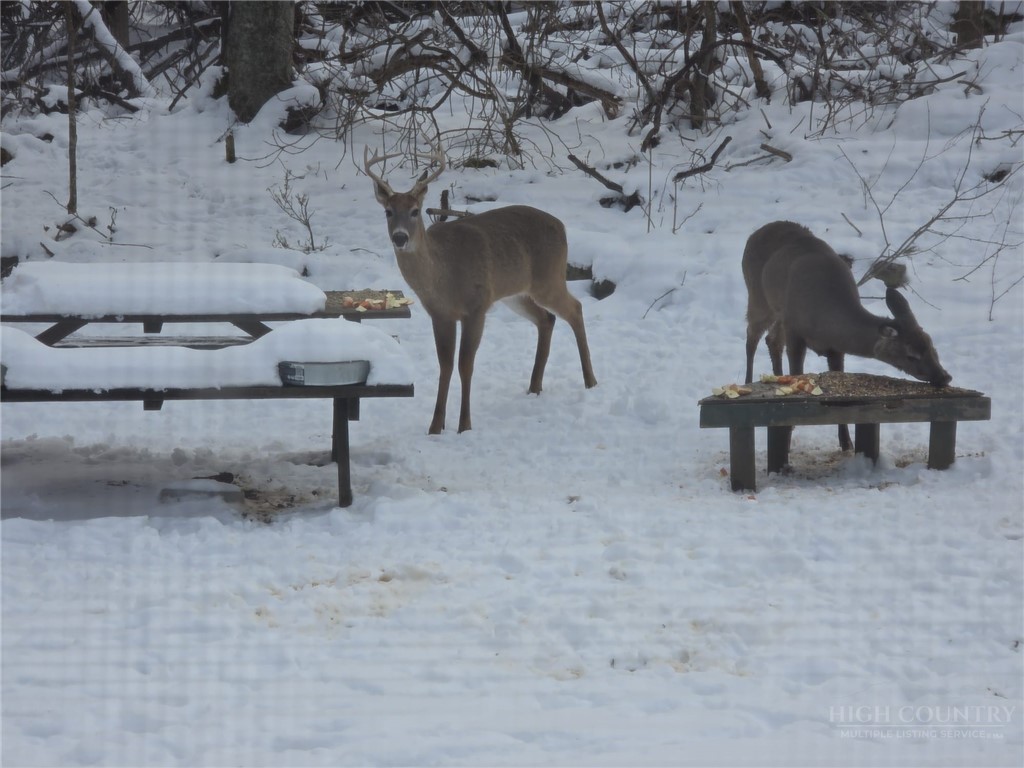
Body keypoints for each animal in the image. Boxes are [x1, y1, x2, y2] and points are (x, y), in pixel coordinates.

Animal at [364, 146, 597, 435]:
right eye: (388, 212)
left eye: (415, 211)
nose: (400, 237)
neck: (443, 277)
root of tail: (562, 226)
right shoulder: (440, 315)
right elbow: (445, 364)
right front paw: (435, 426)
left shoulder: (476, 306)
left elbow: (465, 364)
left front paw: (464, 425)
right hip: (516, 293)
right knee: (547, 318)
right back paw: (534, 386)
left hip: (548, 279)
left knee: (575, 308)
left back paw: (590, 381)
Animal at [743, 220, 951, 451]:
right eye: (911, 355)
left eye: (932, 346)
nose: (944, 377)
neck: (825, 321)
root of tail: (756, 232)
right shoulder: (795, 331)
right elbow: (797, 372)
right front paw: (788, 433)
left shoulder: (836, 348)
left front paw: (847, 443)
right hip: (758, 296)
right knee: (751, 337)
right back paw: (747, 382)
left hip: (778, 311)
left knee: (772, 340)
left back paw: (777, 378)